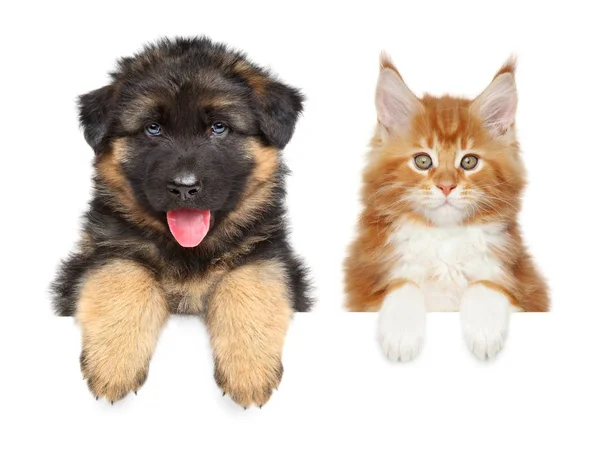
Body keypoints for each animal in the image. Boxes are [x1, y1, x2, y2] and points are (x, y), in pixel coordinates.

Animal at [51, 36, 312, 408]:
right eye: (153, 128)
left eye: (218, 127)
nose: (185, 187)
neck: (189, 250)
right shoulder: (99, 252)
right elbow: (121, 276)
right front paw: (114, 364)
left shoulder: (269, 253)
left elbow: (250, 284)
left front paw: (248, 371)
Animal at [346, 55, 548, 362]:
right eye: (422, 161)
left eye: (468, 162)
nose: (446, 186)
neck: (445, 240)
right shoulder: (363, 287)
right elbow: (404, 284)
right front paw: (402, 336)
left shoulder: (526, 287)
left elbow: (486, 284)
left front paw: (484, 333)